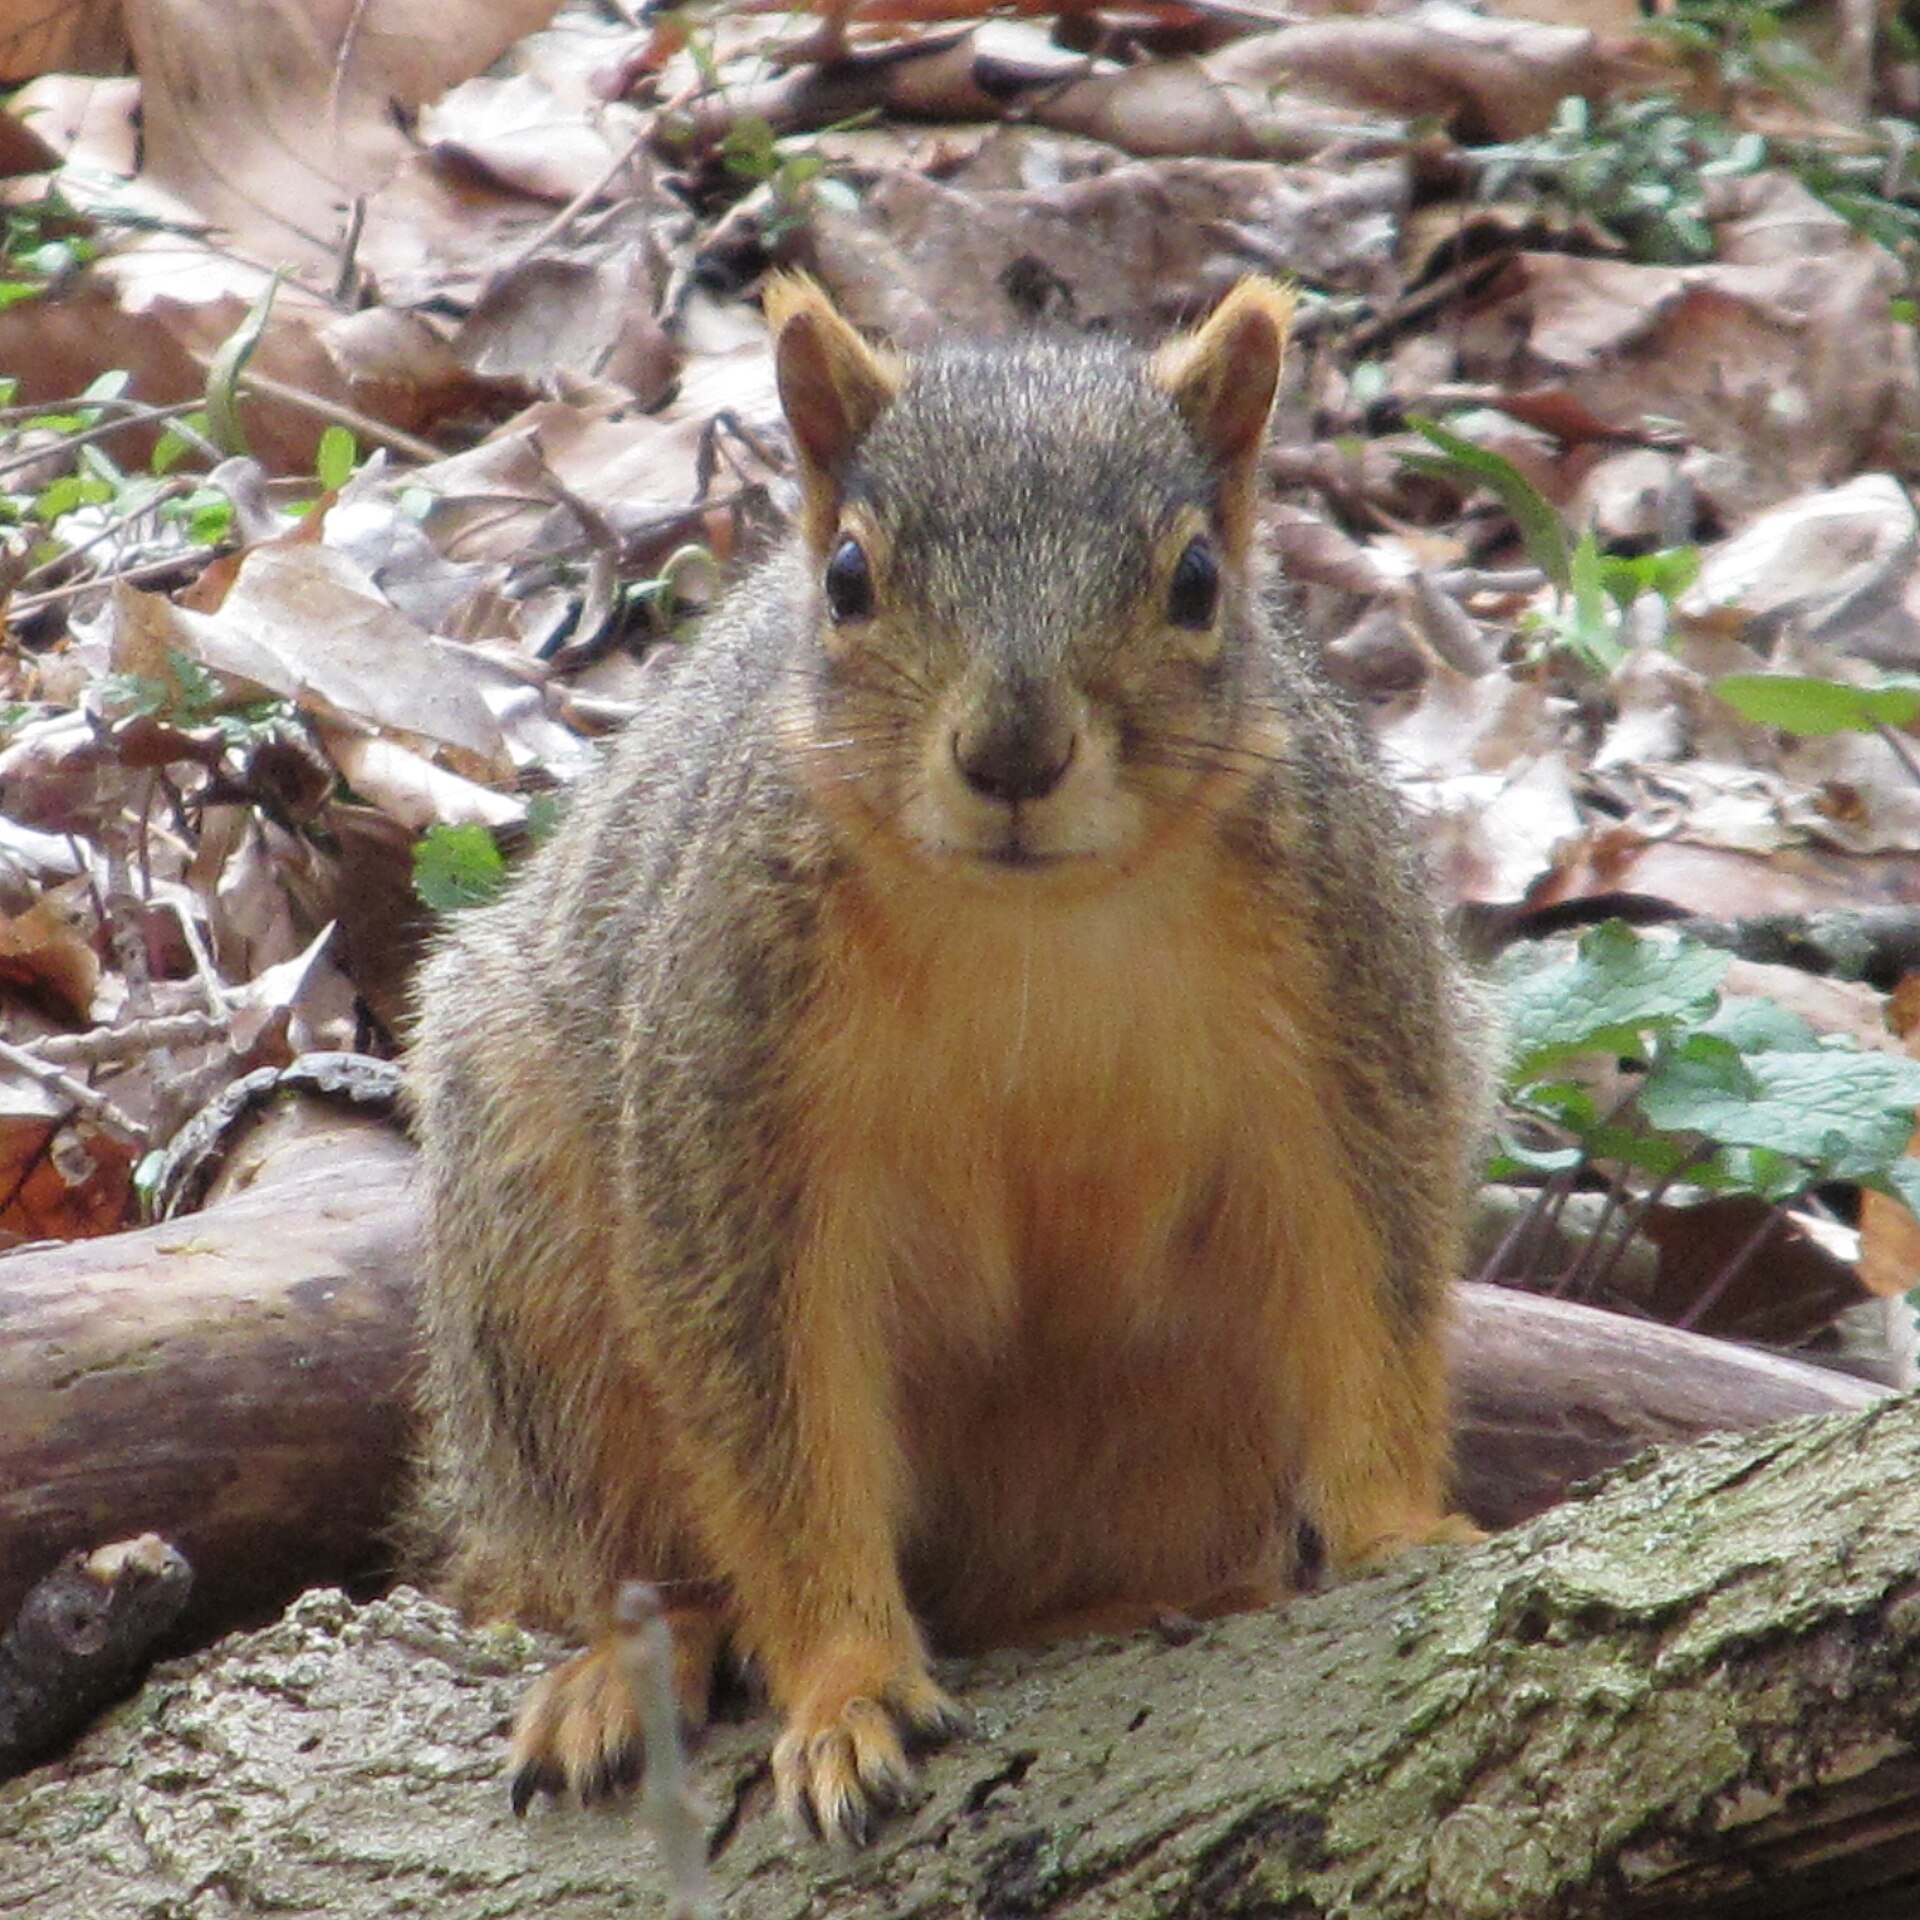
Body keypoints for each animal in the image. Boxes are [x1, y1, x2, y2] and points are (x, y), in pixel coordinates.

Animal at [408, 274, 1489, 1847]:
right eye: (850, 577)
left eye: (1197, 581)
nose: (1014, 752)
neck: (1033, 921)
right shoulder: (730, 1097)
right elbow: (771, 1413)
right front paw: (848, 1688)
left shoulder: (1355, 1018)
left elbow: (1376, 1283)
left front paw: (1402, 1532)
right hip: (529, 1259)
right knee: (603, 1537)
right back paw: (624, 1664)